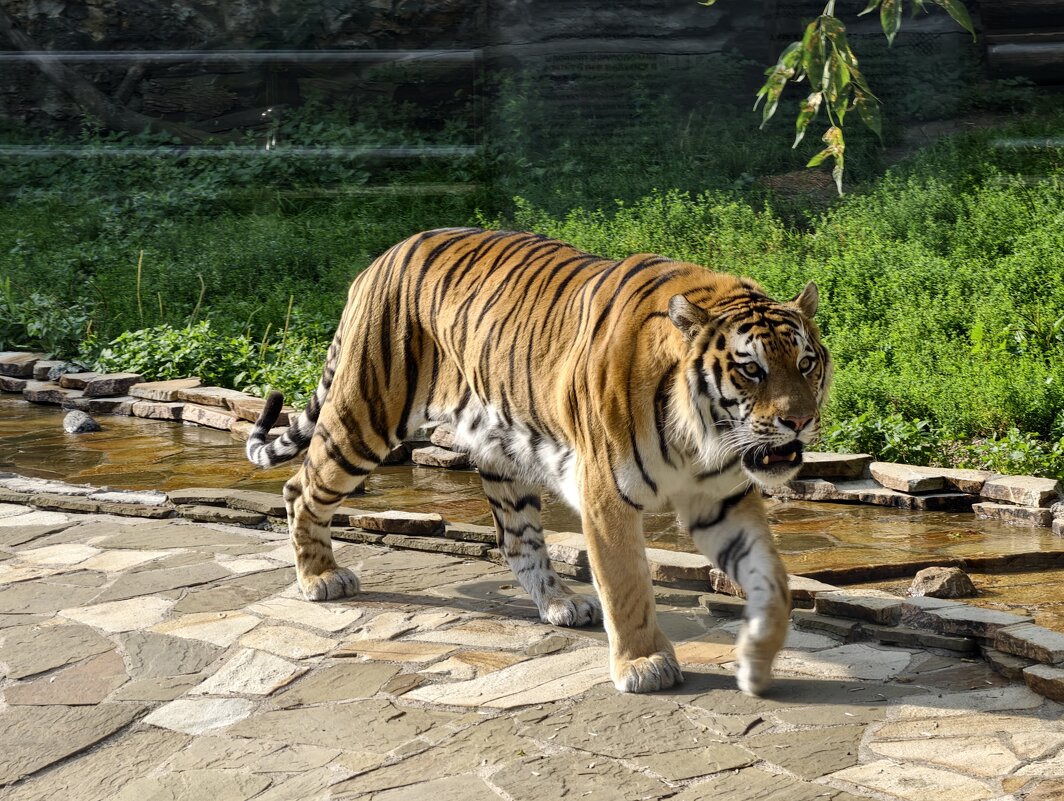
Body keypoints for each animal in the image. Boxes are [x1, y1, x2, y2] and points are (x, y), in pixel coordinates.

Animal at [247, 227, 831, 696]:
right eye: (751, 369)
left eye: (806, 363)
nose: (799, 421)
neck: (701, 435)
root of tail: (380, 258)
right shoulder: (606, 496)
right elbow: (627, 584)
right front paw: (643, 663)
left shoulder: (723, 498)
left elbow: (773, 581)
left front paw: (756, 660)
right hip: (364, 418)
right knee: (300, 489)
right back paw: (320, 578)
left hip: (503, 452)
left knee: (517, 540)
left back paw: (560, 604)